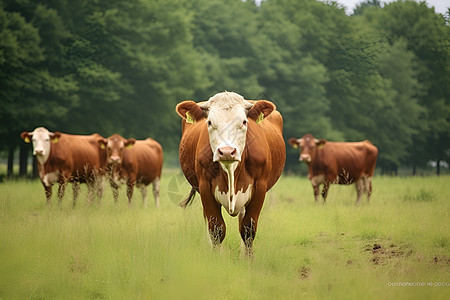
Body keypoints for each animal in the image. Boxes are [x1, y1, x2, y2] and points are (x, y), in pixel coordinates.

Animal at [176, 91, 284, 255]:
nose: (227, 152)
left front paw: (248, 258)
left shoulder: (260, 187)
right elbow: (216, 229)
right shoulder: (205, 187)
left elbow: (248, 229)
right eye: (209, 122)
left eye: (244, 122)